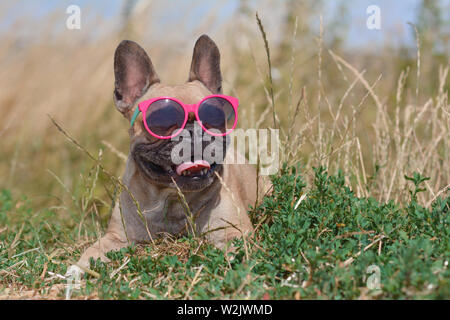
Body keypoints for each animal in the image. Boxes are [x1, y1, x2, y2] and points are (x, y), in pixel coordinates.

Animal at [67, 33, 268, 276]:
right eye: (161, 121)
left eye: (215, 117)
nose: (193, 132)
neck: (172, 197)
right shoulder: (115, 238)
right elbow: (91, 251)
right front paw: (75, 270)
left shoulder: (235, 232)